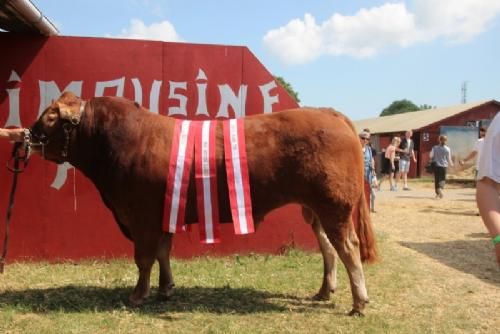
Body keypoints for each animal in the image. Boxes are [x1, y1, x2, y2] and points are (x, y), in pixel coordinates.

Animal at [30, 92, 376, 316]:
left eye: (51, 115)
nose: (29, 134)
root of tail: (329, 113)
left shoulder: (142, 216)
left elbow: (144, 258)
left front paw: (138, 295)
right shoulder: (163, 213)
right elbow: (163, 252)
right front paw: (166, 288)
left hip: (334, 206)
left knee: (348, 247)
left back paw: (359, 303)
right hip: (315, 209)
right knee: (328, 247)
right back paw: (324, 291)